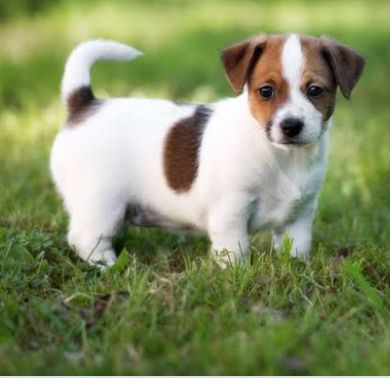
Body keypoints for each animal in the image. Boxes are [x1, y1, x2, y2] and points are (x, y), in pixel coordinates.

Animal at [50, 32, 364, 266]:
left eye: (315, 91)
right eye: (266, 91)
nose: (291, 126)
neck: (282, 157)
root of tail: (85, 104)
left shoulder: (300, 215)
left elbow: (297, 247)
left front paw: (296, 269)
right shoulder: (231, 210)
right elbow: (236, 249)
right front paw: (237, 276)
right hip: (101, 202)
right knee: (84, 238)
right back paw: (106, 264)